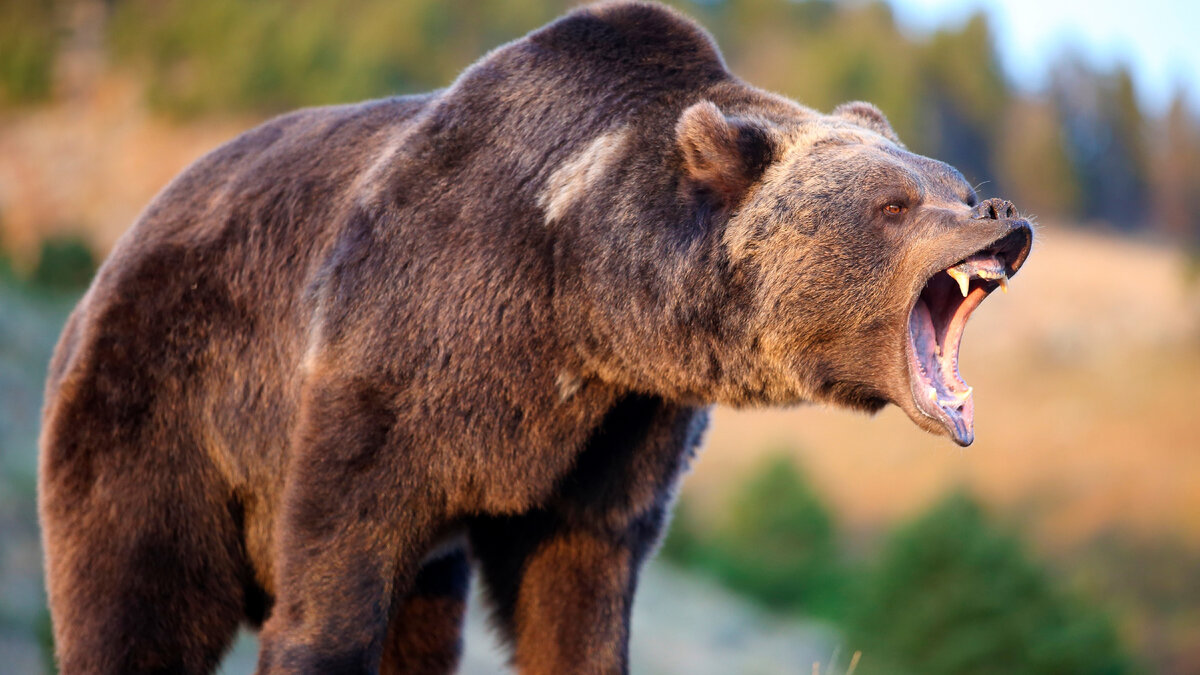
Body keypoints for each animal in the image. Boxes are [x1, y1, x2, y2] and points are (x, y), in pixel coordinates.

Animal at [37, 2, 1032, 667]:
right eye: (895, 204)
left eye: (954, 181)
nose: (1001, 214)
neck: (579, 299)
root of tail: (116, 253)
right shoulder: (394, 362)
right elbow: (333, 584)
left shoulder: (615, 434)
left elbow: (577, 595)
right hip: (162, 408)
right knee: (136, 598)